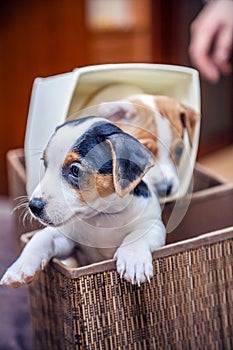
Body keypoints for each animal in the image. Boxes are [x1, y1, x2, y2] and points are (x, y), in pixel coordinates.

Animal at [0, 116, 167, 286]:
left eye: (75, 170)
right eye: (45, 164)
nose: (33, 206)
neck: (101, 216)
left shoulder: (153, 225)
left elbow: (136, 236)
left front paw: (133, 259)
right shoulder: (66, 238)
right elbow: (41, 237)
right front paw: (20, 267)